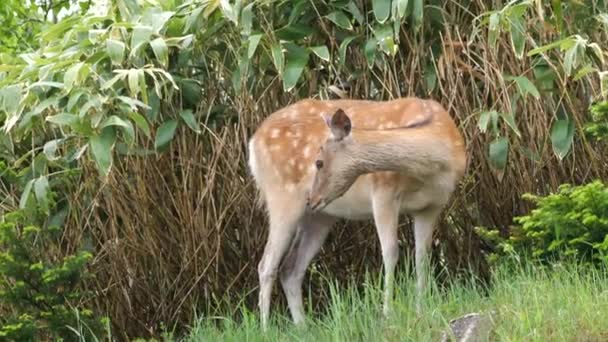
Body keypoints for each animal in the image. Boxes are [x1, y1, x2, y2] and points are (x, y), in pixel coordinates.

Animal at [246, 97, 466, 332]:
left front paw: (421, 310)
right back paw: (266, 329)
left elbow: (422, 258)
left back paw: (304, 327)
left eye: (319, 162)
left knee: (290, 268)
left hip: (320, 215)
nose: (311, 198)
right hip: (280, 196)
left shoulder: (431, 206)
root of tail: (253, 142)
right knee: (266, 265)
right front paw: (388, 315)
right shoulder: (383, 191)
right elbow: (390, 252)